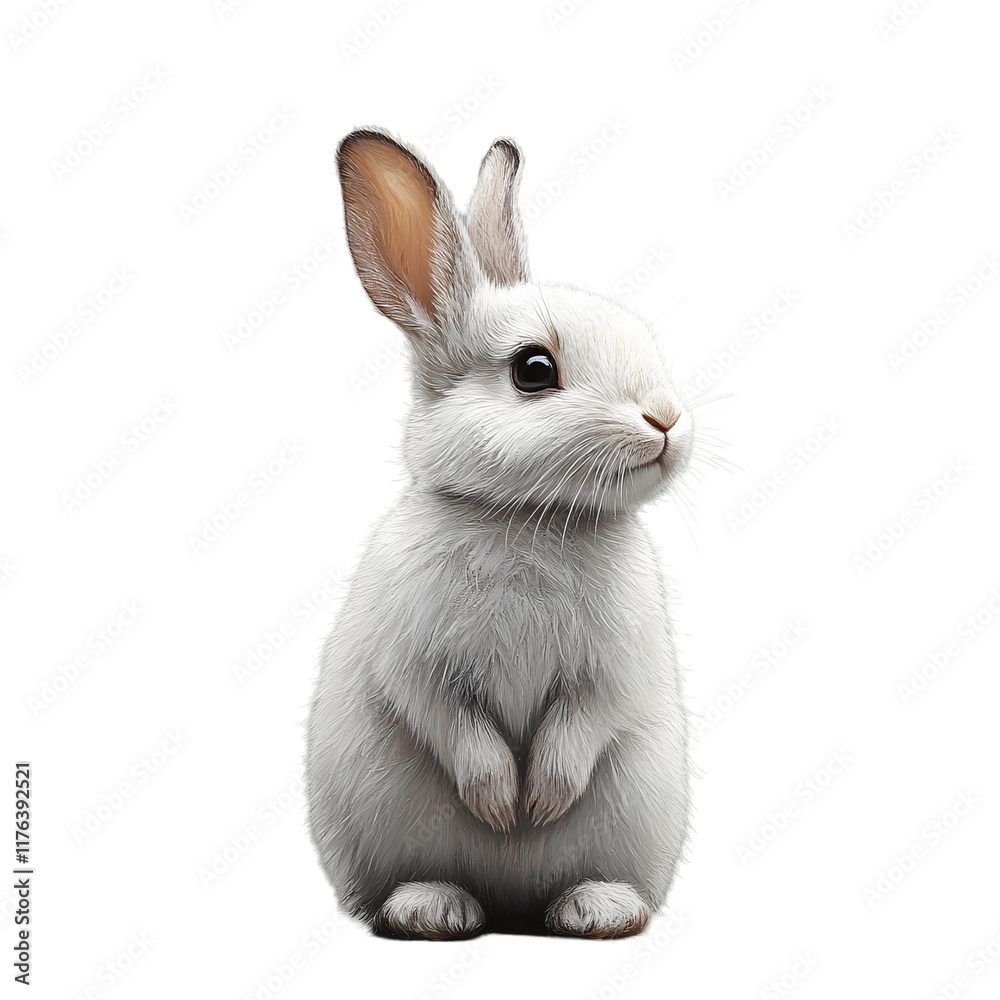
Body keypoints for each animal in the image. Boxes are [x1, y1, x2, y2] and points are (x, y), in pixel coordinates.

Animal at [306, 127, 693, 939]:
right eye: (534, 369)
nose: (668, 421)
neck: (525, 518)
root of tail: (513, 905)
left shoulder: (615, 665)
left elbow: (584, 720)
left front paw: (539, 801)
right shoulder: (411, 656)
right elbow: (450, 721)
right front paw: (500, 803)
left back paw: (595, 910)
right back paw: (432, 908)